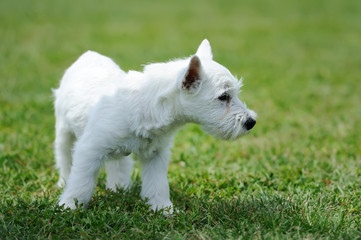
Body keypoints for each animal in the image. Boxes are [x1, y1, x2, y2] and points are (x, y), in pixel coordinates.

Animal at [53, 39, 256, 214]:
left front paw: (164, 209)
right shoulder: (90, 150)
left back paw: (118, 188)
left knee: (118, 164)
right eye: (223, 97)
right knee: (65, 158)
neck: (149, 106)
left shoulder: (155, 155)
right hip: (63, 132)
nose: (251, 122)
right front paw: (70, 206)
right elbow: (81, 182)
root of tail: (87, 56)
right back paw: (64, 181)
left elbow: (157, 185)